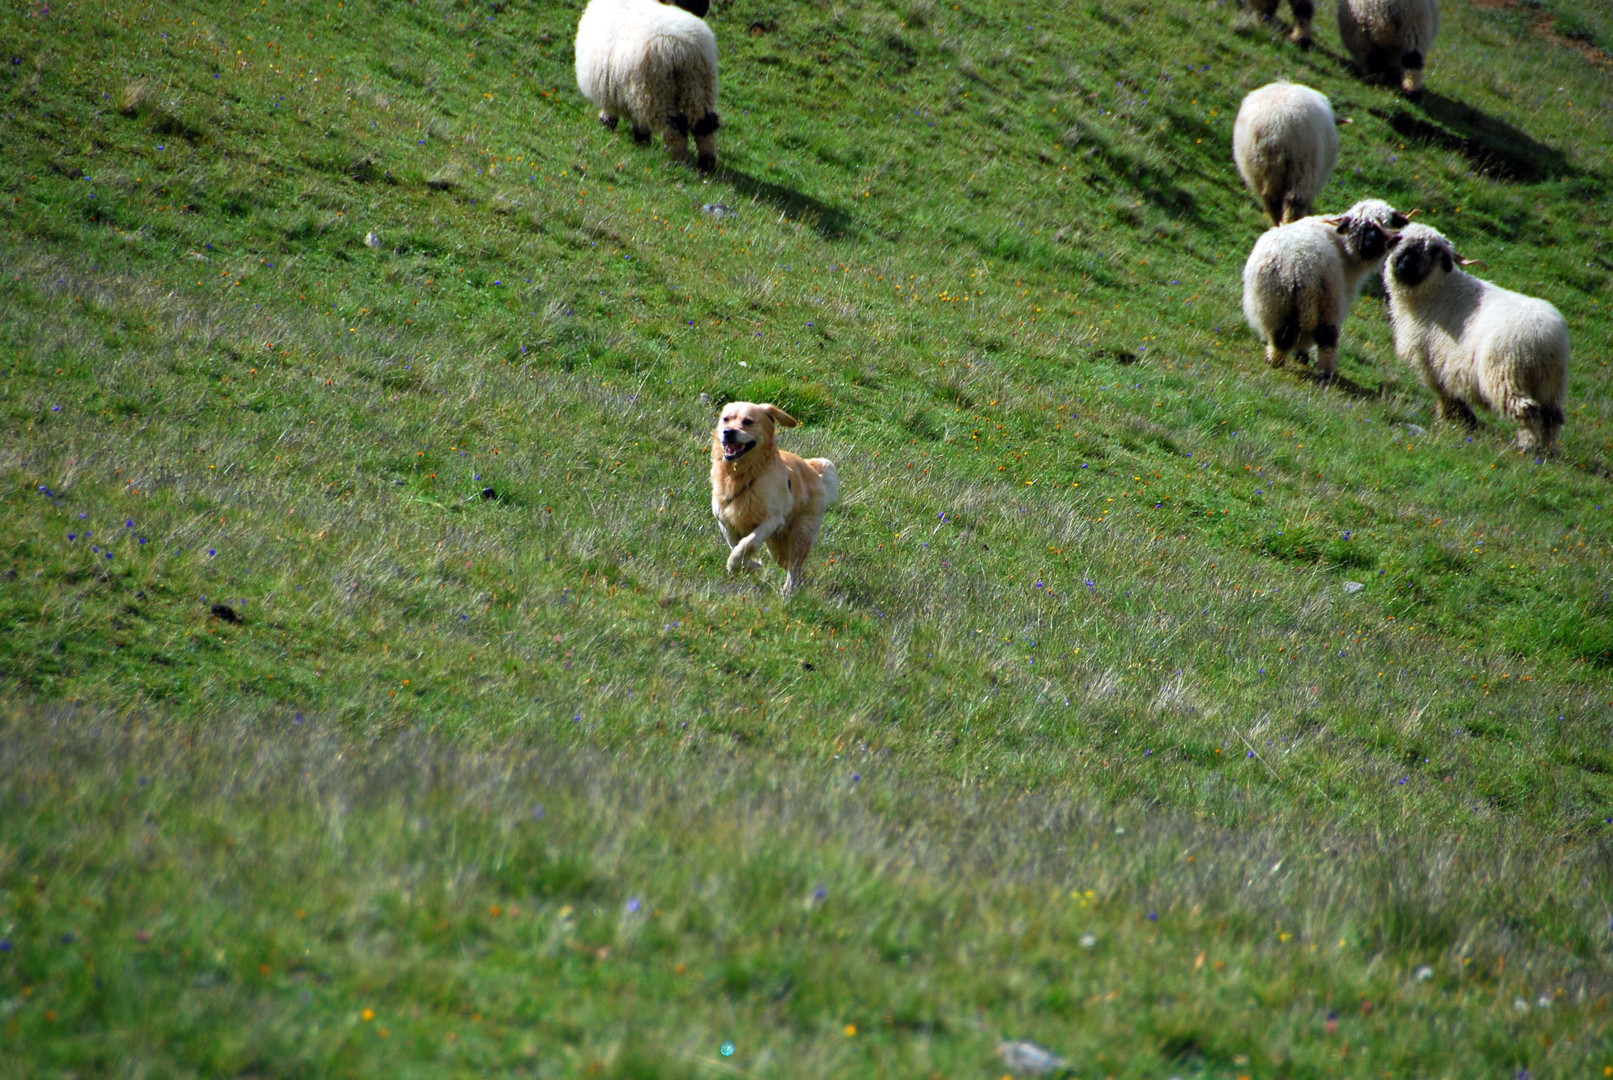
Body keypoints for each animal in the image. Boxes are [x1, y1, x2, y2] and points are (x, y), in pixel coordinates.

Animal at [571, 0, 716, 171]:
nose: (704, 8)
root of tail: (685, 49)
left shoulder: (609, 86)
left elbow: (612, 110)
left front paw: (608, 125)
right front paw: (642, 139)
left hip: (656, 91)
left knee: (674, 128)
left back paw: (678, 161)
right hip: (699, 86)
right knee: (705, 125)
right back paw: (707, 164)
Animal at [1238, 199, 1406, 380]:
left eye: (1385, 224)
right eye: (1358, 226)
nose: (1368, 246)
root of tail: (1301, 265)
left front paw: (1301, 355)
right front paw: (1303, 355)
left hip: (1276, 300)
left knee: (1283, 332)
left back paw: (1274, 359)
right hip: (1328, 301)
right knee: (1326, 337)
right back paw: (1325, 371)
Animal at [1380, 224, 1567, 451]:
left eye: (1433, 251)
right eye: (1401, 239)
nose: (1404, 263)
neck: (1436, 290)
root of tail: (1547, 339)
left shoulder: (1431, 360)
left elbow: (1444, 391)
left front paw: (1449, 416)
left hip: (1505, 373)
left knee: (1526, 409)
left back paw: (1528, 445)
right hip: (1551, 385)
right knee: (1552, 417)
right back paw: (1548, 449)